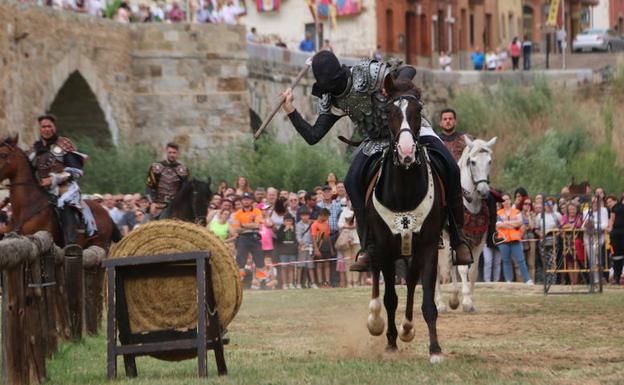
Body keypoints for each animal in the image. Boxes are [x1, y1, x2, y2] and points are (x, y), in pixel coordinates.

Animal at [368, 76, 446, 362]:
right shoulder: (384, 248)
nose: (405, 151)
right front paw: (390, 342)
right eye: (389, 112)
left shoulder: (428, 246)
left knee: (412, 281)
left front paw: (435, 349)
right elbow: (390, 298)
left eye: (418, 111)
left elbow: (427, 301)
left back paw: (408, 327)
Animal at [436, 136, 494, 314]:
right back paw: (440, 303)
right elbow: (460, 267)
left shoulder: (479, 242)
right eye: (472, 162)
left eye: (489, 161)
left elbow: (473, 270)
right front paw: (466, 301)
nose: (483, 191)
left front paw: (468, 301)